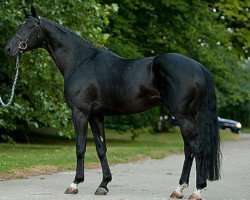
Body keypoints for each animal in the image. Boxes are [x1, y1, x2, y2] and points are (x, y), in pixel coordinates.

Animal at [5, 6, 221, 200]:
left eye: (29, 27)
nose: (9, 49)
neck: (80, 61)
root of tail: (199, 67)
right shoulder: (97, 115)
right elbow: (101, 149)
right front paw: (103, 184)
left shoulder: (80, 112)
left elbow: (80, 147)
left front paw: (75, 184)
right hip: (186, 117)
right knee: (188, 150)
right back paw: (178, 189)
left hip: (183, 117)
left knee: (197, 148)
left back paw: (196, 191)